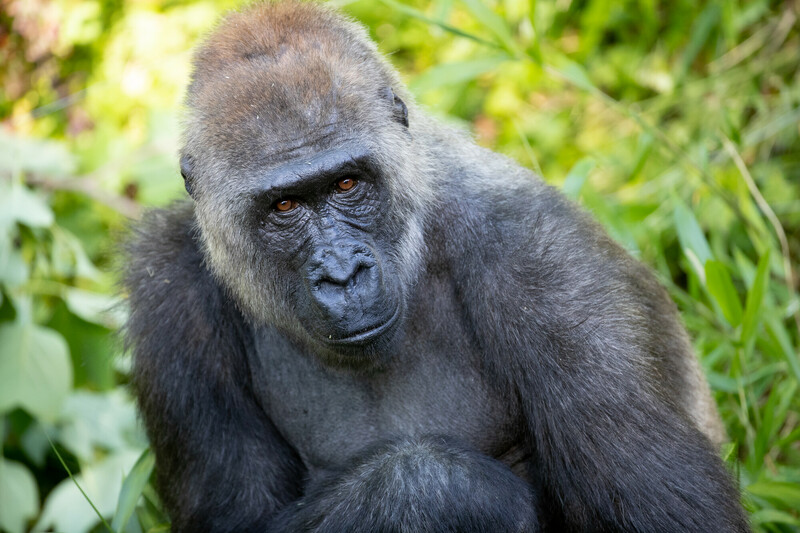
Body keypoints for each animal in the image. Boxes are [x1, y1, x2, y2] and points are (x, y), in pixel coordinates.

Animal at [123, 1, 750, 531]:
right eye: (284, 206)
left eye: (347, 183)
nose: (342, 275)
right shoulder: (168, 287)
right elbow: (236, 519)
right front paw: (448, 489)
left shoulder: (546, 263)